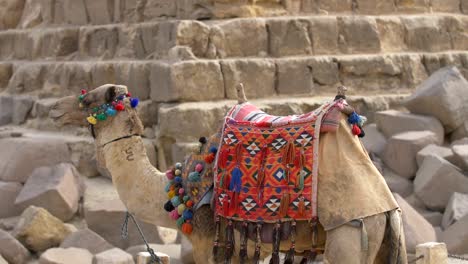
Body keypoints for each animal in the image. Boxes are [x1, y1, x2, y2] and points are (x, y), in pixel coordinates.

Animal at [48, 84, 406, 264]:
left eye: (86, 99)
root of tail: (386, 207)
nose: (52, 108)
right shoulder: (241, 245)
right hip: (381, 243)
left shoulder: (207, 238)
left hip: (349, 238)